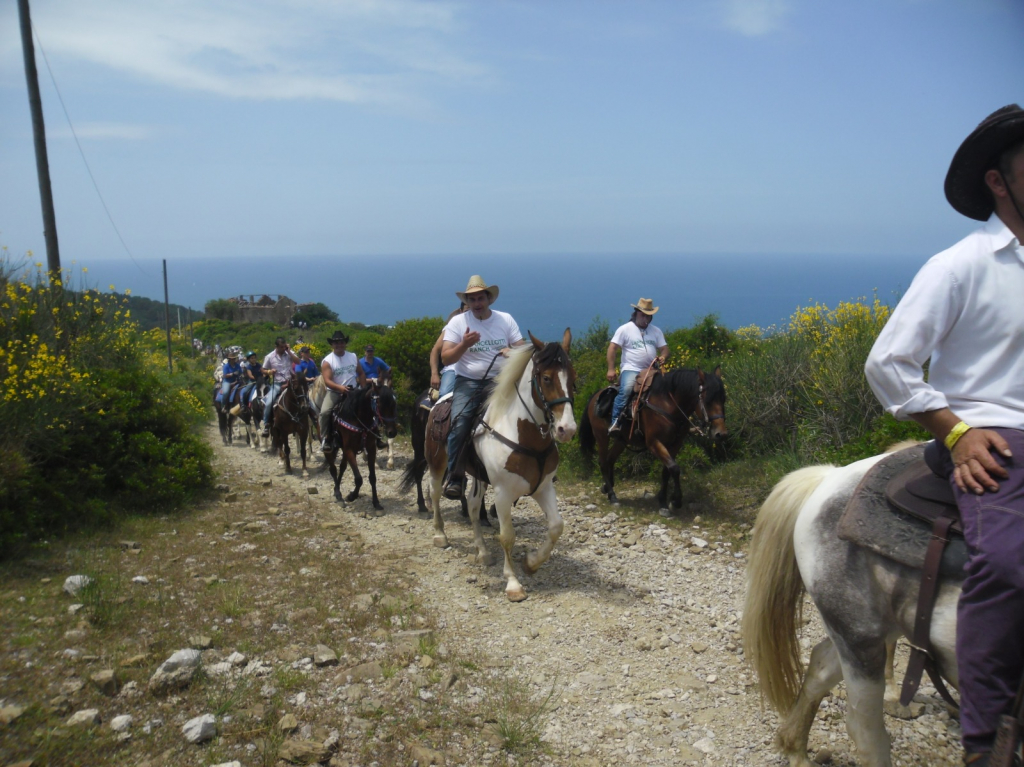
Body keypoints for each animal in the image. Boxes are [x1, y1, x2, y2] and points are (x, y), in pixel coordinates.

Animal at [322, 378, 398, 510]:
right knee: (333, 469)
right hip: (330, 449)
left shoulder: (371, 449)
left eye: (394, 404)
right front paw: (352, 496)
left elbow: (372, 477)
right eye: (380, 404)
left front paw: (376, 502)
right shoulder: (349, 449)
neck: (359, 418)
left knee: (342, 467)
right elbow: (358, 479)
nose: (392, 432)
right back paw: (338, 495)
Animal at [422, 330, 576, 602]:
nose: (566, 429)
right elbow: (507, 536)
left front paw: (531, 563)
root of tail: (440, 401)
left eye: (574, 378)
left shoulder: (544, 487)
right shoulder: (504, 493)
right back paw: (440, 535)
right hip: (437, 464)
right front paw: (513, 583)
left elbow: (556, 526)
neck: (524, 434)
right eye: (546, 378)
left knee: (473, 508)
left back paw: (483, 552)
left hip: (479, 478)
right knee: (436, 494)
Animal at [578, 367, 728, 511]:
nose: (721, 434)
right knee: (603, 462)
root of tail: (595, 396)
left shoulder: (676, 444)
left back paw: (607, 487)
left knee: (610, 459)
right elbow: (674, 468)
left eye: (723, 399)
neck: (668, 404)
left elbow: (667, 471)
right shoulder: (654, 442)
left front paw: (663, 501)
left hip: (622, 440)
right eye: (708, 401)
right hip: (601, 436)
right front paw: (676, 501)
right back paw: (612, 495)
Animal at [741, 450, 961, 767]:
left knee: (821, 666)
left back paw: (796, 750)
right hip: (860, 639)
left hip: (869, 631)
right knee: (866, 732)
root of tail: (828, 476)